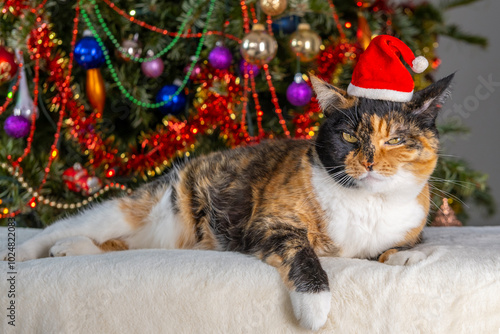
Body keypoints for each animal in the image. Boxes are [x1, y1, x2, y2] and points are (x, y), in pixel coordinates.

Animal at [0, 74, 454, 330]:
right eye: (347, 136)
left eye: (396, 138)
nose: (370, 161)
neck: (367, 203)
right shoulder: (270, 223)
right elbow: (302, 250)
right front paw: (315, 306)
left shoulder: (406, 223)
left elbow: (396, 247)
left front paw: (407, 257)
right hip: (139, 206)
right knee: (63, 228)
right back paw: (26, 253)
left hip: (155, 235)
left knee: (116, 244)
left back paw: (69, 250)